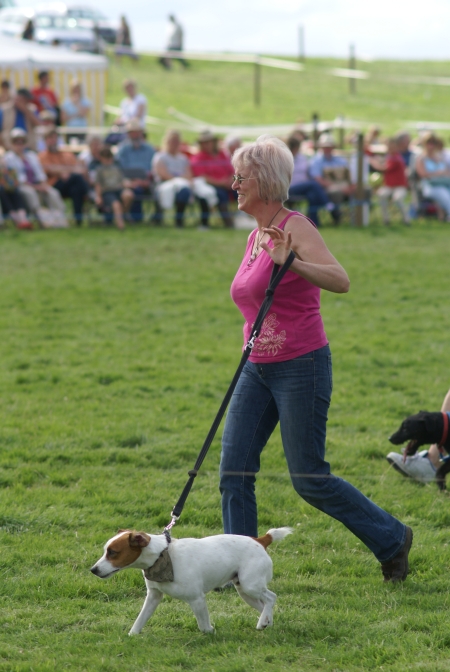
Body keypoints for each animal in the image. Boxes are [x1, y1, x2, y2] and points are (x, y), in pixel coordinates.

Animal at [91, 527, 292, 634]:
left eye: (113, 552)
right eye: (106, 551)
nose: (93, 570)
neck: (162, 555)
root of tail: (261, 540)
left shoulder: (197, 599)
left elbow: (203, 625)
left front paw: (210, 633)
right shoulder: (153, 597)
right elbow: (140, 619)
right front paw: (132, 635)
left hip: (251, 585)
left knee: (271, 598)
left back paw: (263, 621)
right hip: (245, 591)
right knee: (265, 605)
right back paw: (265, 621)